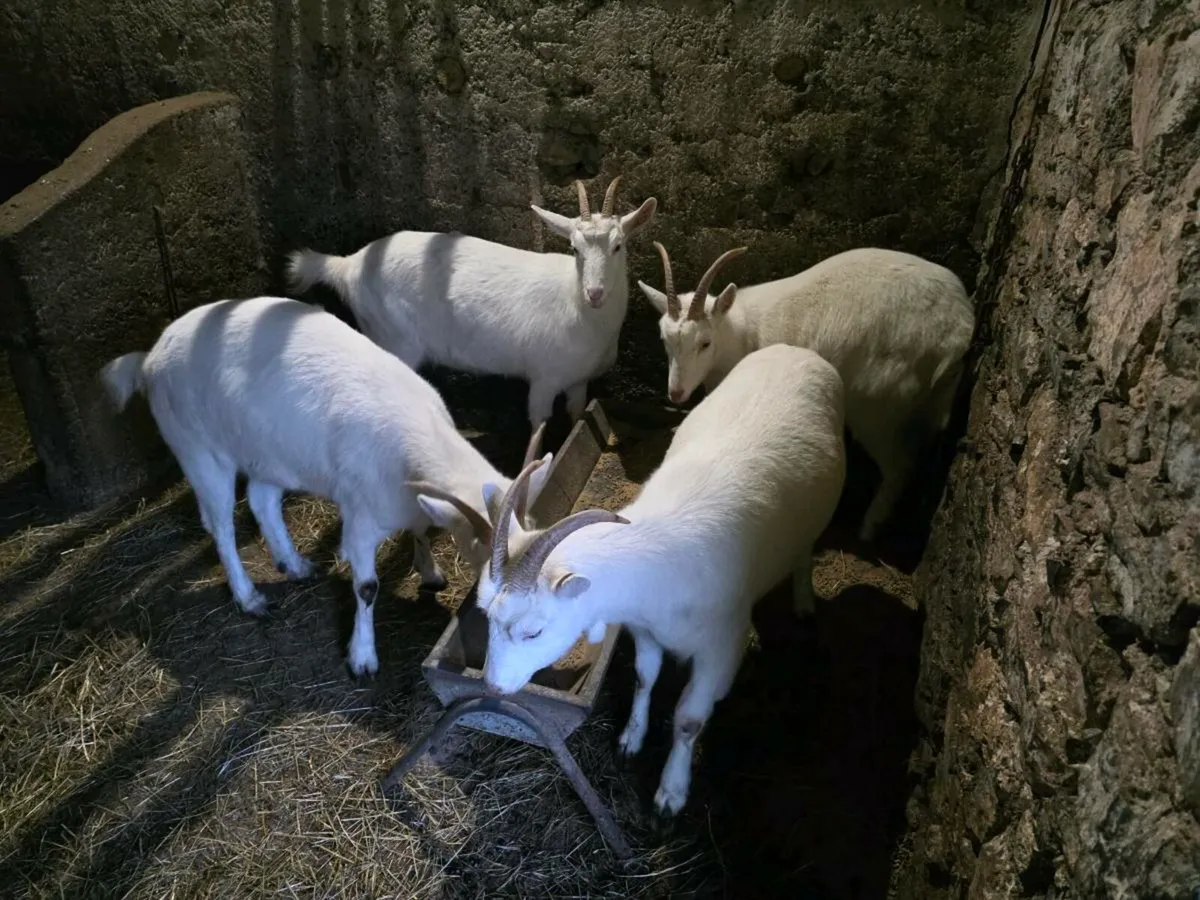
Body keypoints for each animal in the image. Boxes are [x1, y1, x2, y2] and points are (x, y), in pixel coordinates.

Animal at [98, 296, 553, 679]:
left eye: (531, 529)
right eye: (482, 548)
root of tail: (150, 358)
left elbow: (421, 529)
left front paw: (430, 573)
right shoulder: (361, 518)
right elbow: (367, 588)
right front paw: (362, 658)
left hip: (271, 451)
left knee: (262, 500)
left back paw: (294, 564)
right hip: (198, 448)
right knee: (221, 524)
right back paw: (249, 598)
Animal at [286, 176, 658, 431]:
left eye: (618, 246)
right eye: (574, 248)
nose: (594, 293)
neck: (577, 305)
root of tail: (348, 265)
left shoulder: (578, 382)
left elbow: (577, 417)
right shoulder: (543, 379)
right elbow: (537, 430)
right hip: (392, 337)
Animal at [429, 342, 846, 817]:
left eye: (534, 631)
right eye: (485, 613)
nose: (493, 686)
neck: (662, 557)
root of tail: (794, 349)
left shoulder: (721, 645)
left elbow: (689, 720)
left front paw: (671, 792)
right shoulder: (645, 628)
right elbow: (646, 677)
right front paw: (632, 738)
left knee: (805, 547)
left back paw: (804, 600)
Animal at [637, 243, 975, 541]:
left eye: (704, 343)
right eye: (664, 340)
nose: (676, 393)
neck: (742, 330)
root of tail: (958, 331)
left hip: (878, 404)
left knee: (899, 467)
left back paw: (867, 530)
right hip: (931, 401)